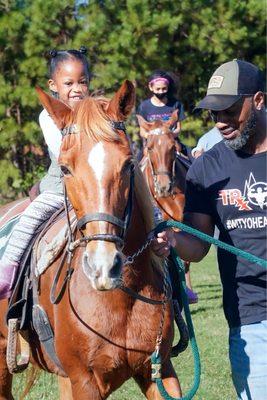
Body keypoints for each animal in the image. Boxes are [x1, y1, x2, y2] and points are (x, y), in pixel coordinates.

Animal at [0, 82, 181, 400]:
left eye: (128, 164)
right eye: (65, 168)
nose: (103, 267)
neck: (121, 298)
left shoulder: (160, 369)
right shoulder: (85, 381)